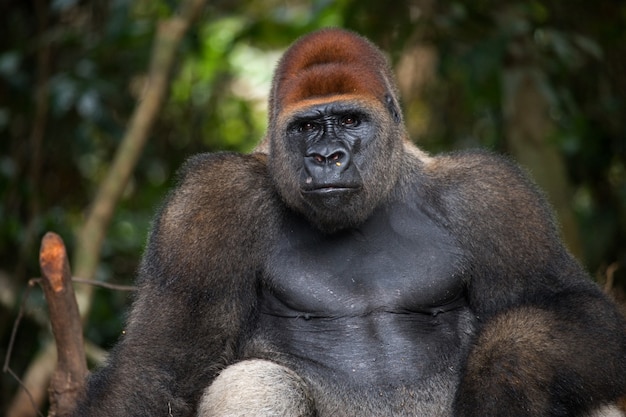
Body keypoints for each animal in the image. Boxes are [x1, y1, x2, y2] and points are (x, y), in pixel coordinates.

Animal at [72, 27, 624, 414]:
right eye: (307, 127)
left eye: (350, 120)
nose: (327, 157)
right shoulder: (209, 204)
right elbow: (160, 366)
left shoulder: (493, 196)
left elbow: (578, 313)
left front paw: (505, 374)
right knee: (259, 382)